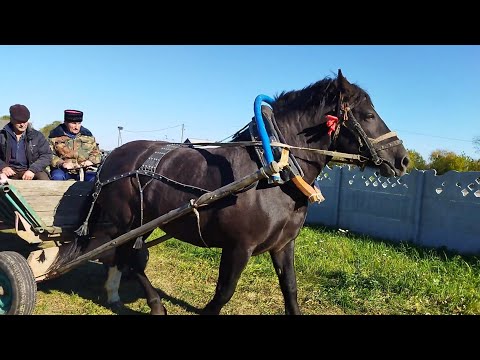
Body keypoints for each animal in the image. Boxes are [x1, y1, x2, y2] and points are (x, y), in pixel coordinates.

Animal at [51, 69, 408, 314]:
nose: (402, 159)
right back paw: (154, 304)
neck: (271, 172)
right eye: (368, 115)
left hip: (137, 225)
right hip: (124, 223)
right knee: (129, 259)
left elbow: (290, 290)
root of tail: (110, 160)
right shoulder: (238, 247)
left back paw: (115, 294)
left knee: (122, 256)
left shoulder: (284, 245)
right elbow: (223, 293)